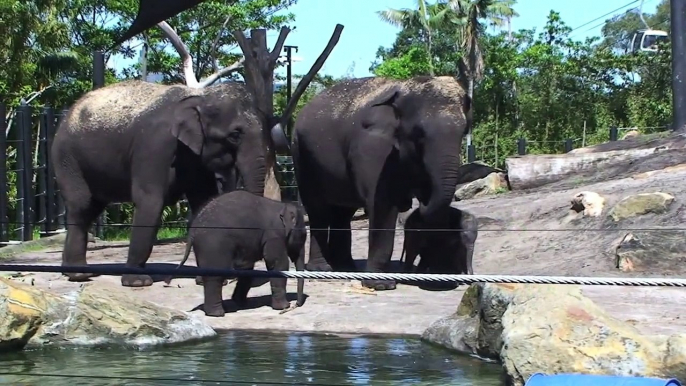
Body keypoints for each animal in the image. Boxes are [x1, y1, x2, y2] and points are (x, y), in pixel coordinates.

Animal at [51, 80, 290, 286]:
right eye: (234, 135)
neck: (200, 97)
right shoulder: (154, 145)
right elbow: (150, 201)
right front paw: (137, 282)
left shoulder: (194, 156)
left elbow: (204, 200)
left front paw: (208, 278)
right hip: (67, 158)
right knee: (81, 206)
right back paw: (80, 275)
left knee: (91, 207)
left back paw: (74, 272)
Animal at [164, 189, 306, 316]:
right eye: (303, 236)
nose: (296, 305)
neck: (281, 205)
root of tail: (192, 231)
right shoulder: (273, 236)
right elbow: (278, 264)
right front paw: (283, 307)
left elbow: (247, 268)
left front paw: (240, 302)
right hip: (213, 245)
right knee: (215, 275)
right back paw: (217, 313)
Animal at [290, 75, 472, 290]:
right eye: (418, 133)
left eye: (464, 131)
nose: (416, 201)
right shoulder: (373, 151)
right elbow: (383, 205)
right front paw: (381, 285)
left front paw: (439, 278)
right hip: (301, 156)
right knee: (318, 209)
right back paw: (322, 270)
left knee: (342, 212)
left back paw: (346, 268)